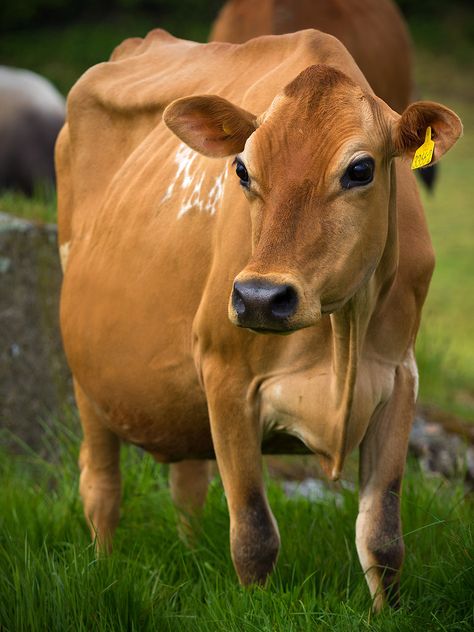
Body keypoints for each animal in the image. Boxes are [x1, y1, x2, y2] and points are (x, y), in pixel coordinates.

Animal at [54, 29, 460, 612]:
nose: (261, 298)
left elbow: (383, 537)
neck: (343, 334)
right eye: (242, 169)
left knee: (188, 483)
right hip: (87, 374)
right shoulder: (227, 376)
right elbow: (252, 533)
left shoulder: (400, 377)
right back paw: (103, 569)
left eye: (361, 169)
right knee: (101, 485)